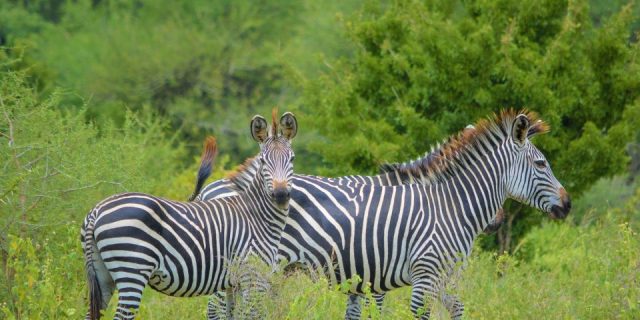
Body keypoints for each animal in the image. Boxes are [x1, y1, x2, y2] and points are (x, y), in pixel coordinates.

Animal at [80, 111, 298, 318]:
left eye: (292, 159)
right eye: (263, 161)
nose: (280, 194)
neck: (256, 216)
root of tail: (96, 211)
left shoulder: (232, 283)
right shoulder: (253, 278)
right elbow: (252, 314)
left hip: (102, 274)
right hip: (132, 270)